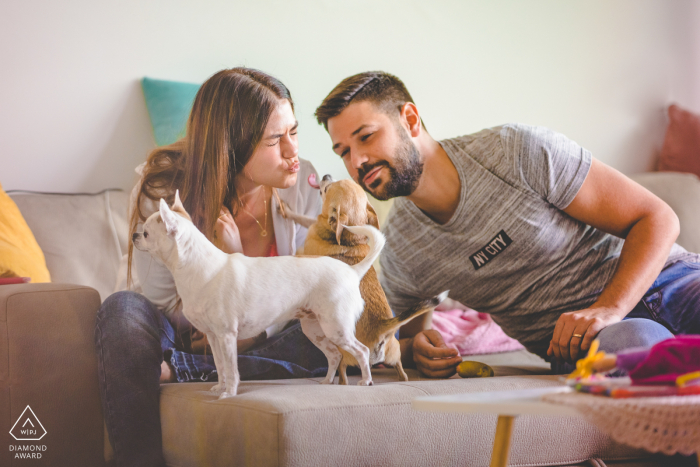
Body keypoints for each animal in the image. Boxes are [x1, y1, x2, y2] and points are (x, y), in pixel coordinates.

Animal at [134, 191, 386, 398]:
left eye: (146, 233)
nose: (135, 235)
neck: (197, 267)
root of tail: (352, 272)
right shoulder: (214, 338)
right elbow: (220, 366)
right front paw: (219, 387)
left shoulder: (227, 336)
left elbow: (232, 369)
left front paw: (229, 394)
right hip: (316, 330)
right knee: (334, 356)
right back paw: (326, 382)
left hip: (336, 328)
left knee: (362, 351)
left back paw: (366, 381)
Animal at [282, 176, 446, 384]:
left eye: (328, 188)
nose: (326, 175)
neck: (349, 238)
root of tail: (381, 327)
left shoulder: (306, 245)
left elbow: (303, 231)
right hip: (394, 351)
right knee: (400, 368)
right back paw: (402, 378)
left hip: (343, 346)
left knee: (343, 367)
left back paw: (343, 382)